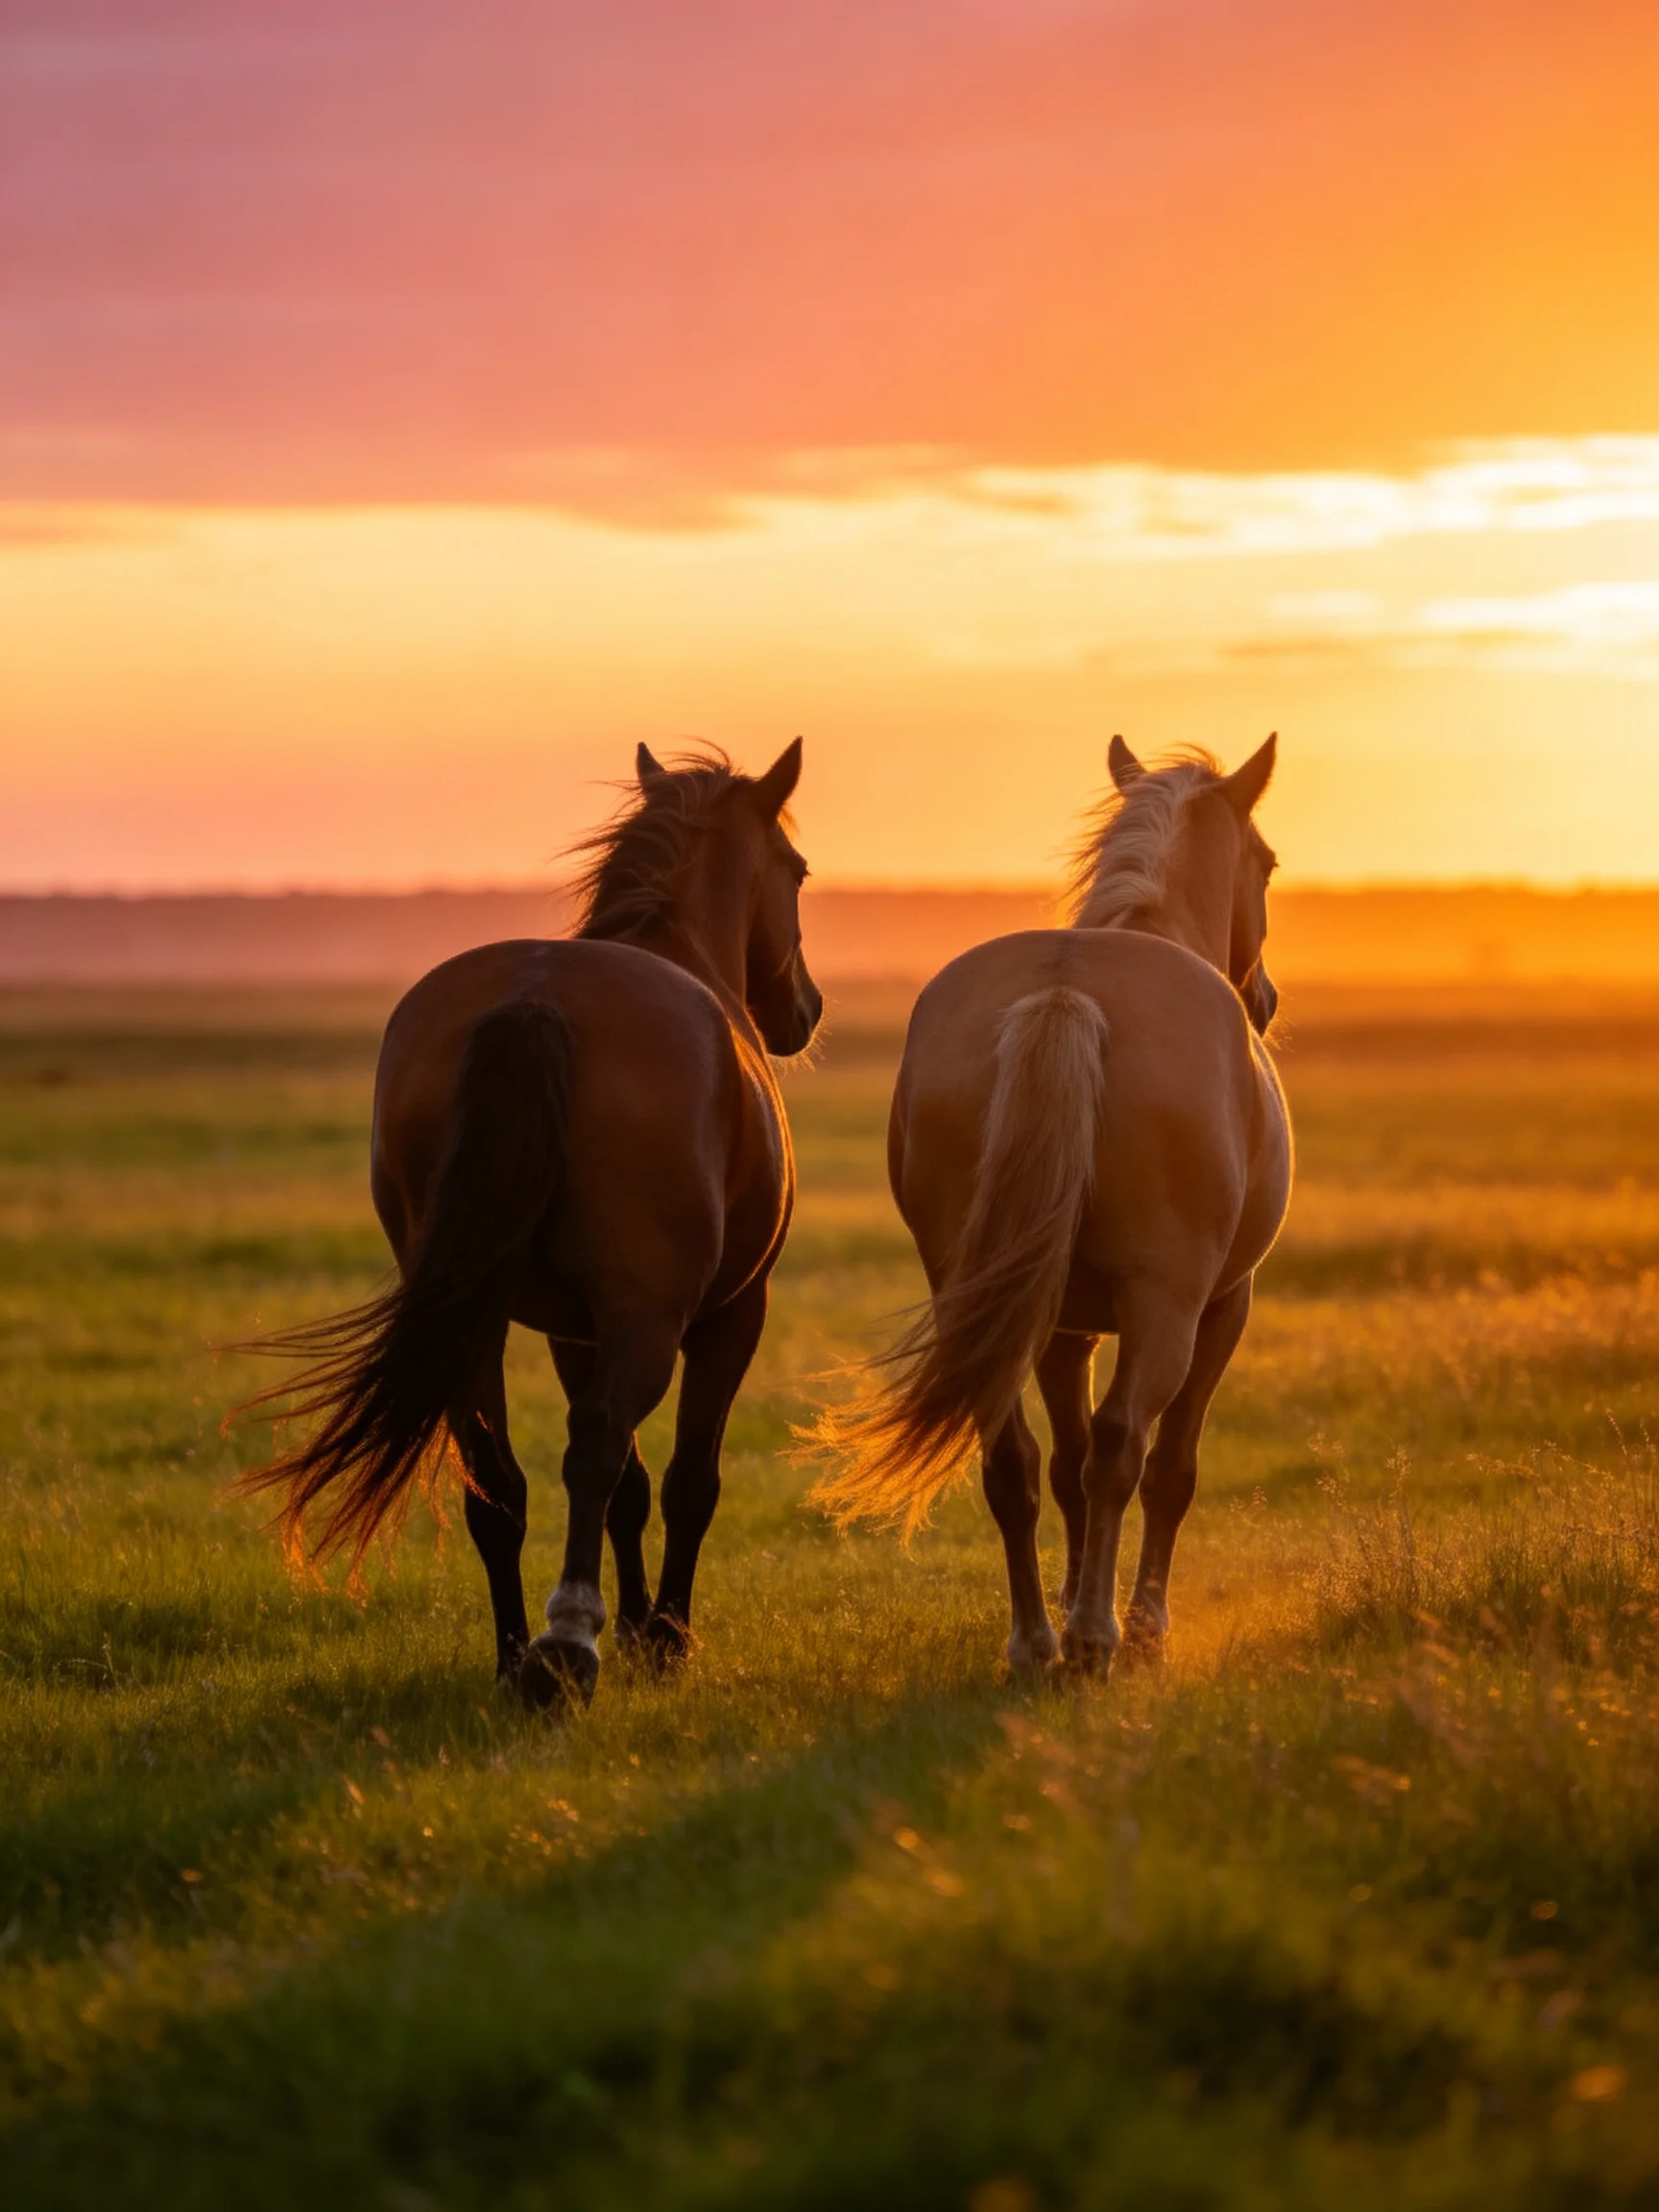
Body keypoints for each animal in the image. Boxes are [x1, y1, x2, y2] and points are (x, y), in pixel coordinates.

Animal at [240, 741, 823, 1708]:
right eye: (799, 870)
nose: (804, 1011)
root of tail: (536, 1001)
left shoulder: (568, 1330)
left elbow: (627, 1489)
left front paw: (638, 1627)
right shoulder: (730, 1315)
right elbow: (682, 1480)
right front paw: (664, 1636)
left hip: (471, 1319)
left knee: (496, 1479)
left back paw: (516, 1656)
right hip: (647, 1318)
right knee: (592, 1448)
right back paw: (567, 1642)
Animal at [811, 735, 1290, 1677]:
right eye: (1267, 863)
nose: (1266, 1000)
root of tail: (1065, 996)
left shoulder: (1062, 1323)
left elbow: (1061, 1467)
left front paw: (1071, 1601)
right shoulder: (1224, 1306)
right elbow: (1166, 1467)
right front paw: (1139, 1620)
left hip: (984, 1299)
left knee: (1015, 1459)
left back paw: (1036, 1639)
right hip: (1166, 1307)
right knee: (1123, 1445)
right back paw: (1100, 1636)